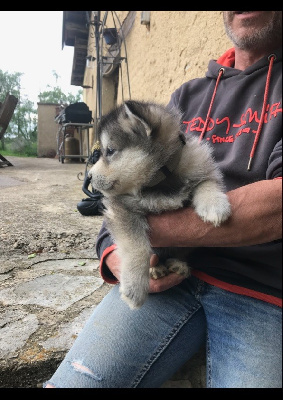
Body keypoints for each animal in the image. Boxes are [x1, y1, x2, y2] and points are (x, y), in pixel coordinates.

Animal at [89, 100, 233, 310]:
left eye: (110, 151)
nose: (89, 176)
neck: (160, 182)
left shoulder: (200, 168)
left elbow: (206, 182)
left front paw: (215, 205)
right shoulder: (121, 209)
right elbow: (137, 246)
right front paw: (135, 287)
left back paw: (179, 264)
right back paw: (155, 269)